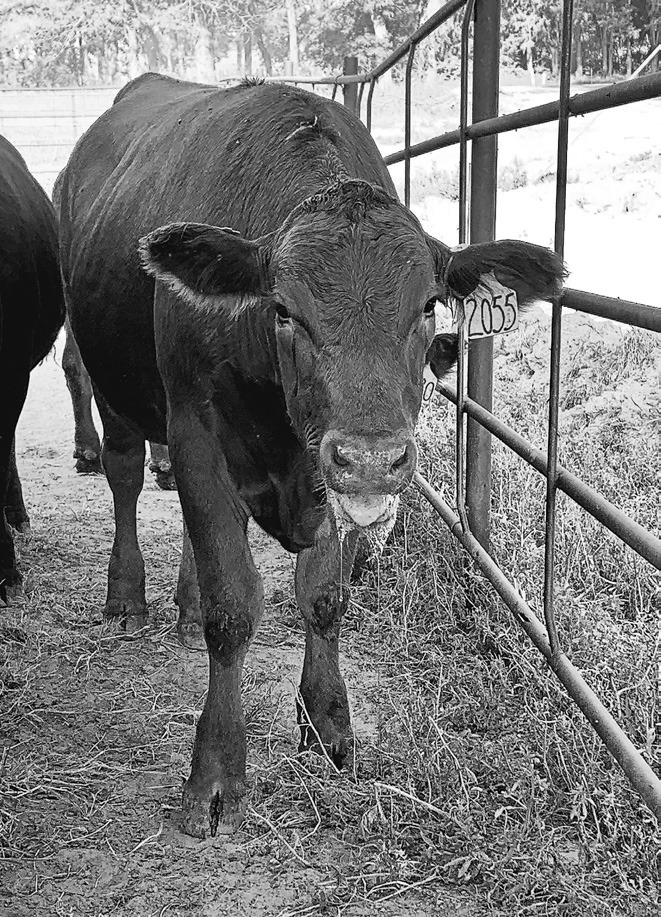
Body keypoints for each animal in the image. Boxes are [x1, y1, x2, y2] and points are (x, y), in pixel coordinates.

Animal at [57, 73, 564, 838]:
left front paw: (327, 724)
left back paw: (180, 601)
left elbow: (323, 597)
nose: (372, 456)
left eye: (427, 306)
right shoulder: (195, 434)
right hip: (110, 377)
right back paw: (126, 594)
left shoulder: (328, 485)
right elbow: (232, 606)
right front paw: (215, 773)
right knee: (123, 474)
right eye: (283, 310)